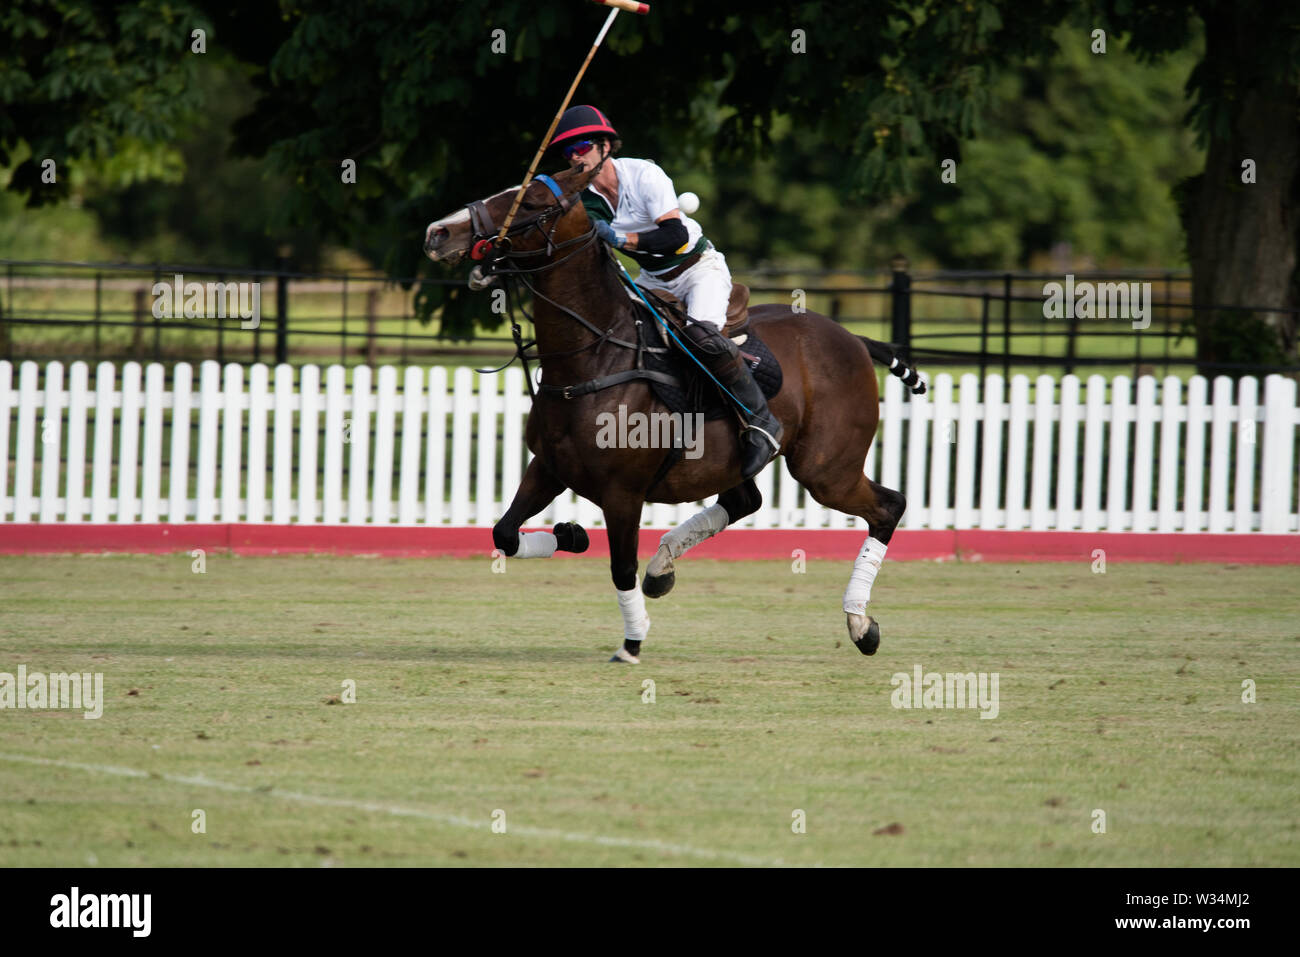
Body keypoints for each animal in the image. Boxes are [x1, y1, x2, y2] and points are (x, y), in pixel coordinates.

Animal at [423, 164, 925, 660]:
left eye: (530, 202)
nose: (437, 232)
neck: (595, 355)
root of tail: (854, 338)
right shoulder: (548, 467)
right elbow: (505, 533)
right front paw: (572, 535)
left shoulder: (622, 492)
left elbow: (621, 567)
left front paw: (632, 641)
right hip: (742, 462)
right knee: (744, 501)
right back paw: (663, 566)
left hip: (826, 468)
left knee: (888, 507)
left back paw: (860, 623)